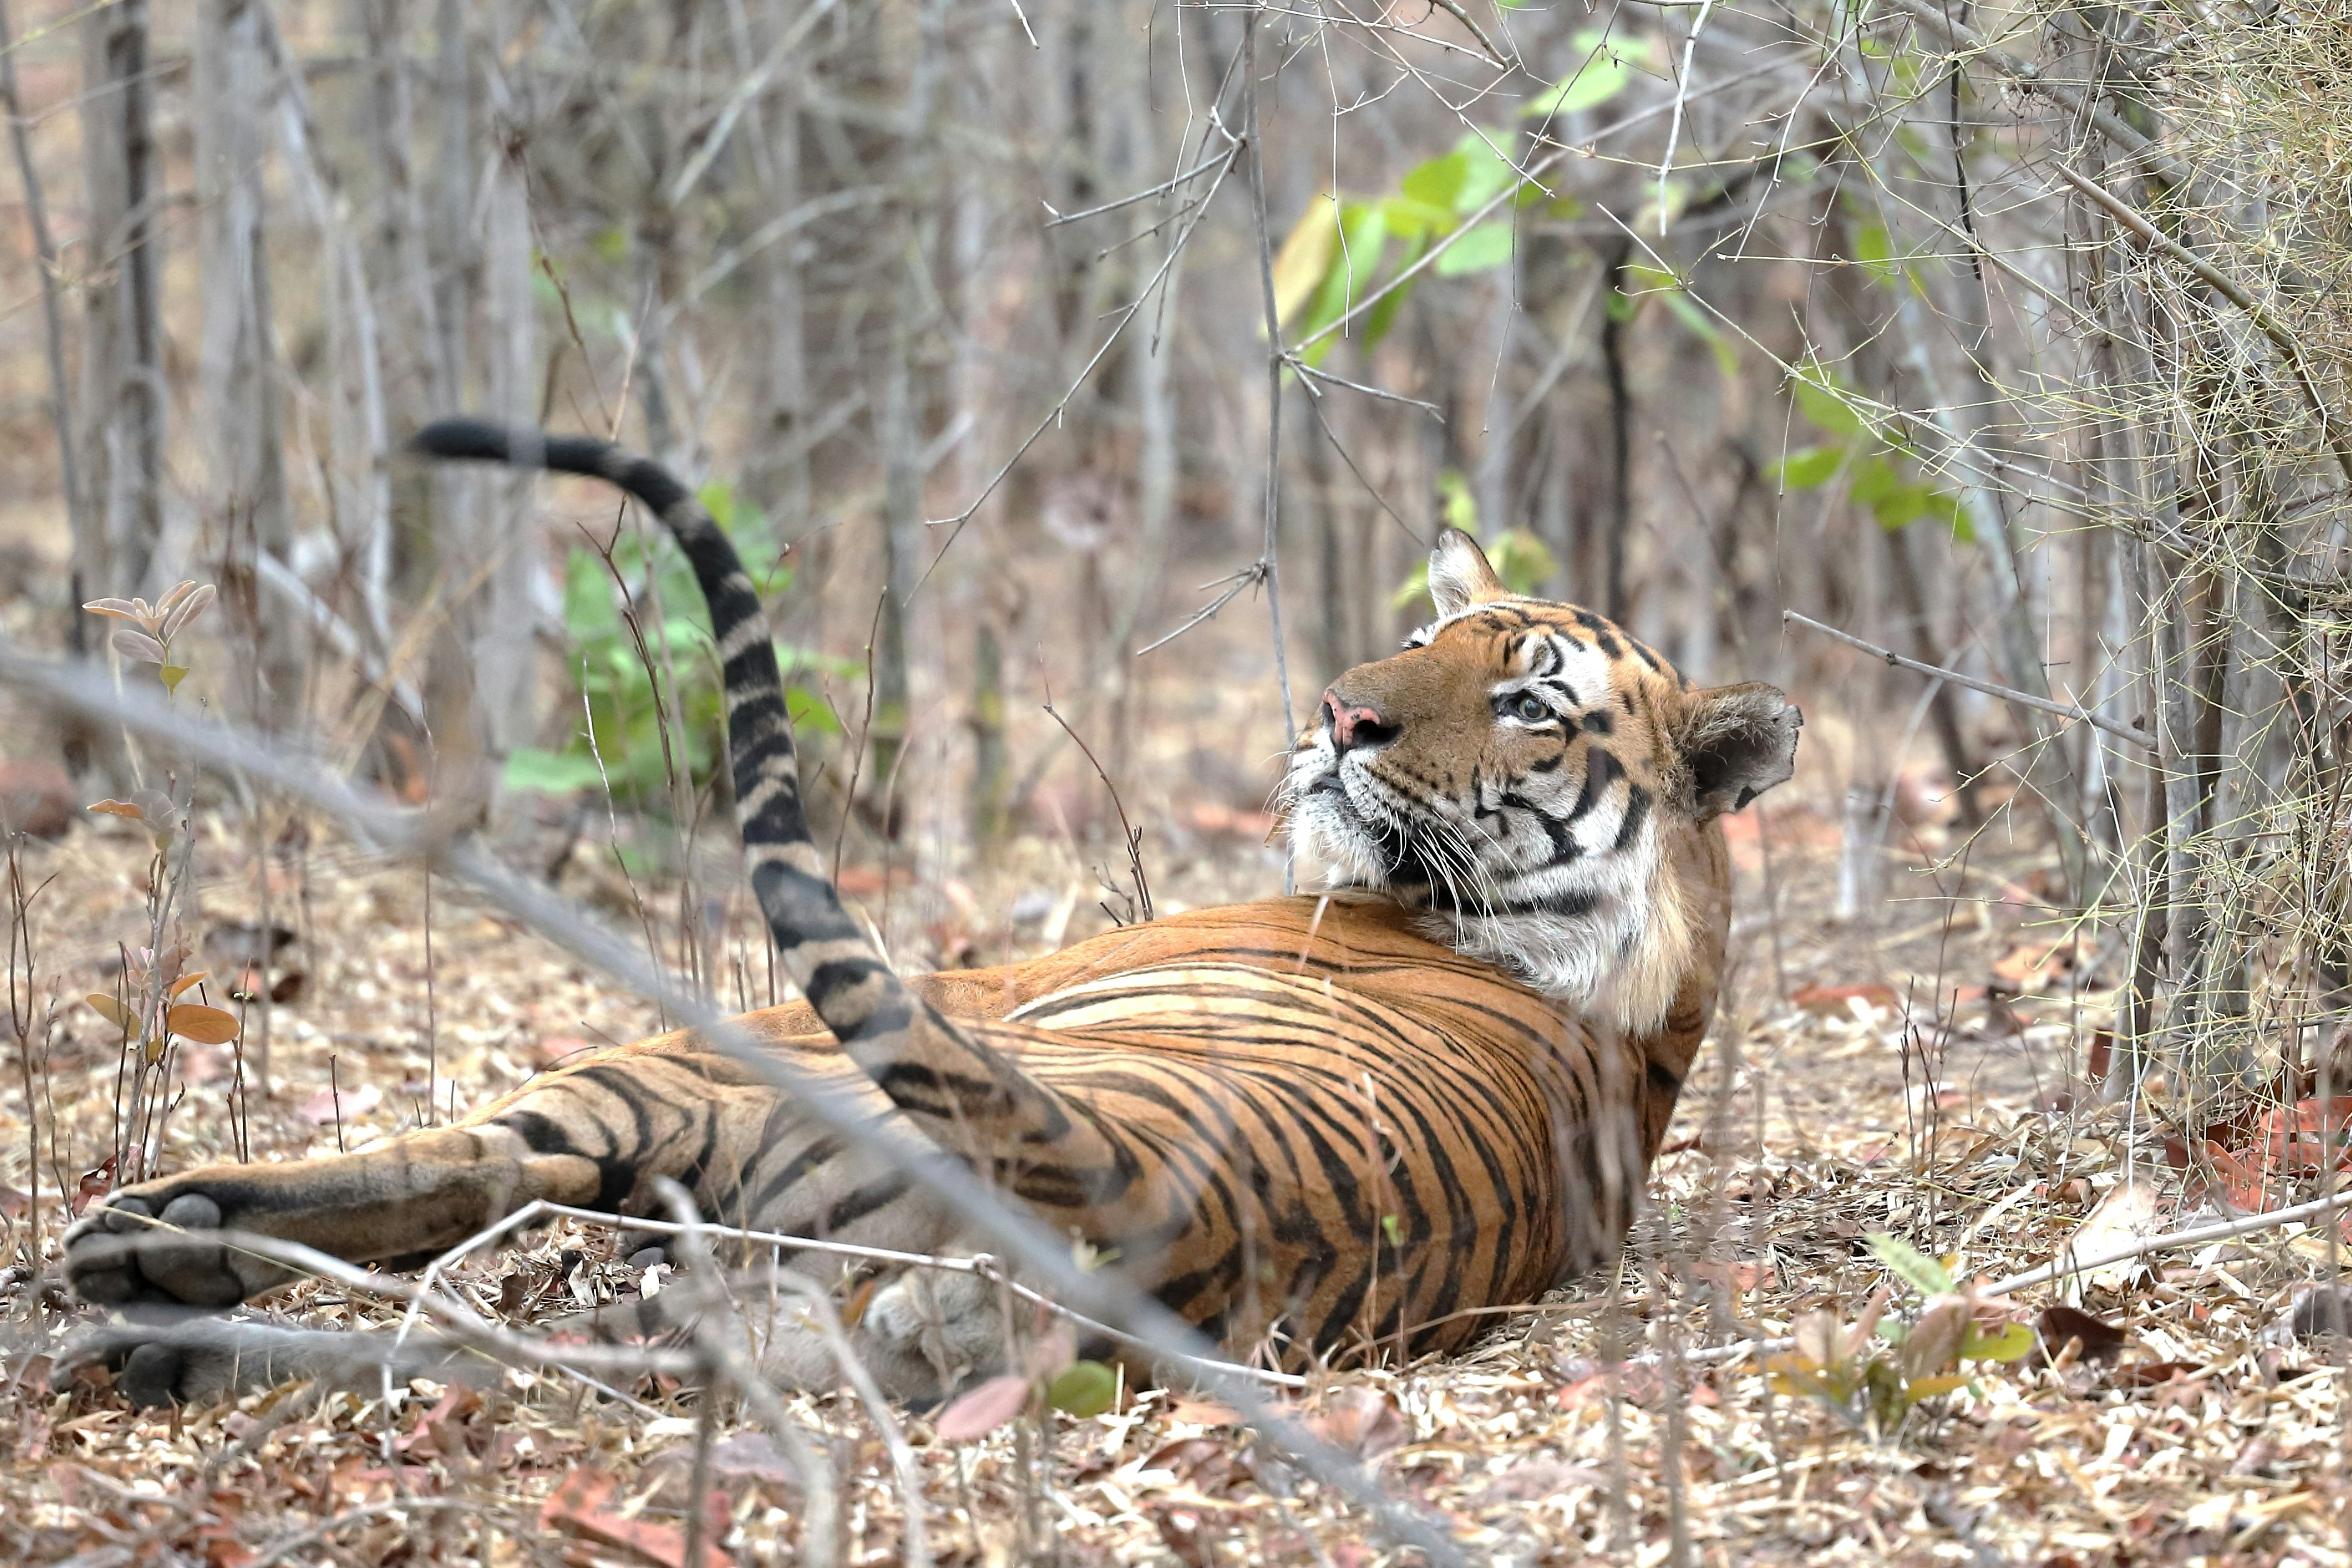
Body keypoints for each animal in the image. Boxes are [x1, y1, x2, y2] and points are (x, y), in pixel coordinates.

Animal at [60, 419, 1799, 1406]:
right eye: (1428, 637)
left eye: (1527, 702)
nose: (1337, 713)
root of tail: (1150, 1190)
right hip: (766, 1303)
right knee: (496, 1339)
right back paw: (163, 1337)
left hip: (709, 1082)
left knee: (477, 1161)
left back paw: (152, 1247)